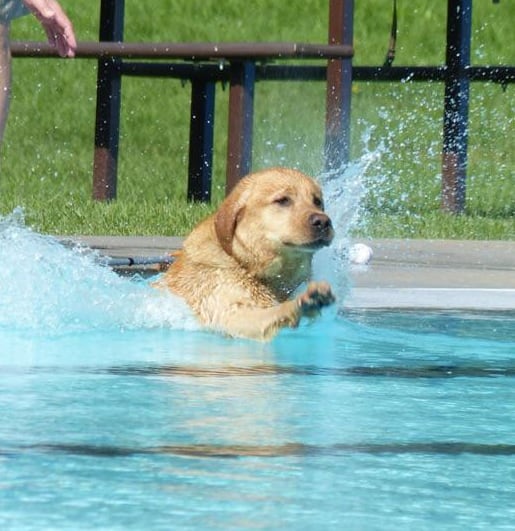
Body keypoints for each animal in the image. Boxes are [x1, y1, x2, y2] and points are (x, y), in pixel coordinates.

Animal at [157, 166, 334, 340]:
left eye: (317, 201)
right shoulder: (225, 309)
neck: (243, 263)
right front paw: (300, 304)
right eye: (283, 200)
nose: (323, 221)